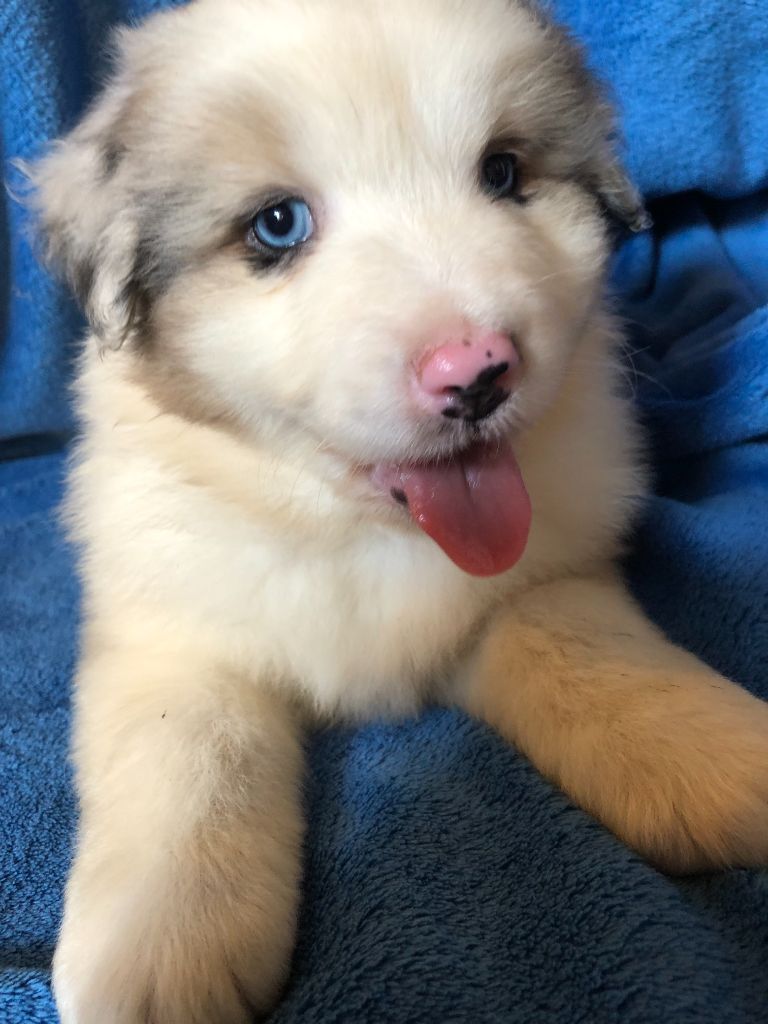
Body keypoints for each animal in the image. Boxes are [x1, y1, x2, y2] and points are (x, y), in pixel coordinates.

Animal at [29, 0, 768, 1020]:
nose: (478, 372)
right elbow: (192, 763)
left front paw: (730, 763)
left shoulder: (539, 583)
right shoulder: (175, 635)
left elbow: (604, 666)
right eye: (277, 225)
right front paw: (162, 950)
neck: (358, 532)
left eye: (503, 173)